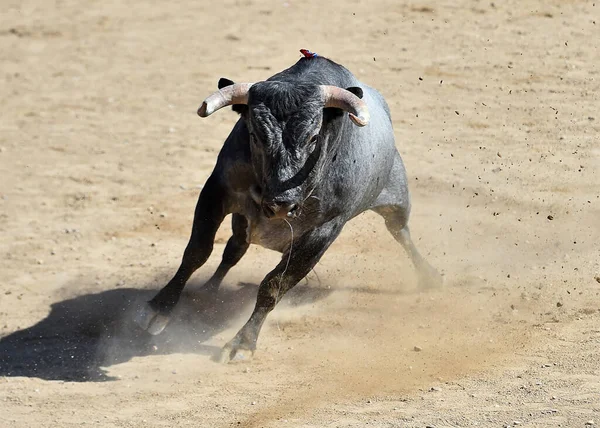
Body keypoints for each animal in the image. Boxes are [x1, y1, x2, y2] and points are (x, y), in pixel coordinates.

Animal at [135, 52, 440, 362]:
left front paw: (243, 342)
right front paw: (159, 308)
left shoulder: (325, 229)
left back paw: (429, 276)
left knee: (401, 233)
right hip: (242, 220)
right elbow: (197, 251)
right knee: (234, 249)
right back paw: (207, 292)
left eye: (314, 137)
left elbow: (275, 284)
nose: (281, 205)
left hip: (396, 200)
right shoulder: (217, 190)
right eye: (255, 135)